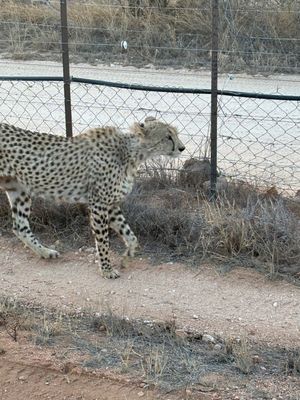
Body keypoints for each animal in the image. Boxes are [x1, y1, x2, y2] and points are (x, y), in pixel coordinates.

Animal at [0, 117, 185, 276]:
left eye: (175, 134)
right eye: (168, 137)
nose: (182, 148)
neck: (131, 153)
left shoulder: (111, 204)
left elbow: (131, 235)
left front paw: (126, 258)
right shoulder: (99, 203)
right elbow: (103, 240)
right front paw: (107, 270)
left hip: (18, 189)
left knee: (20, 226)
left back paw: (45, 252)